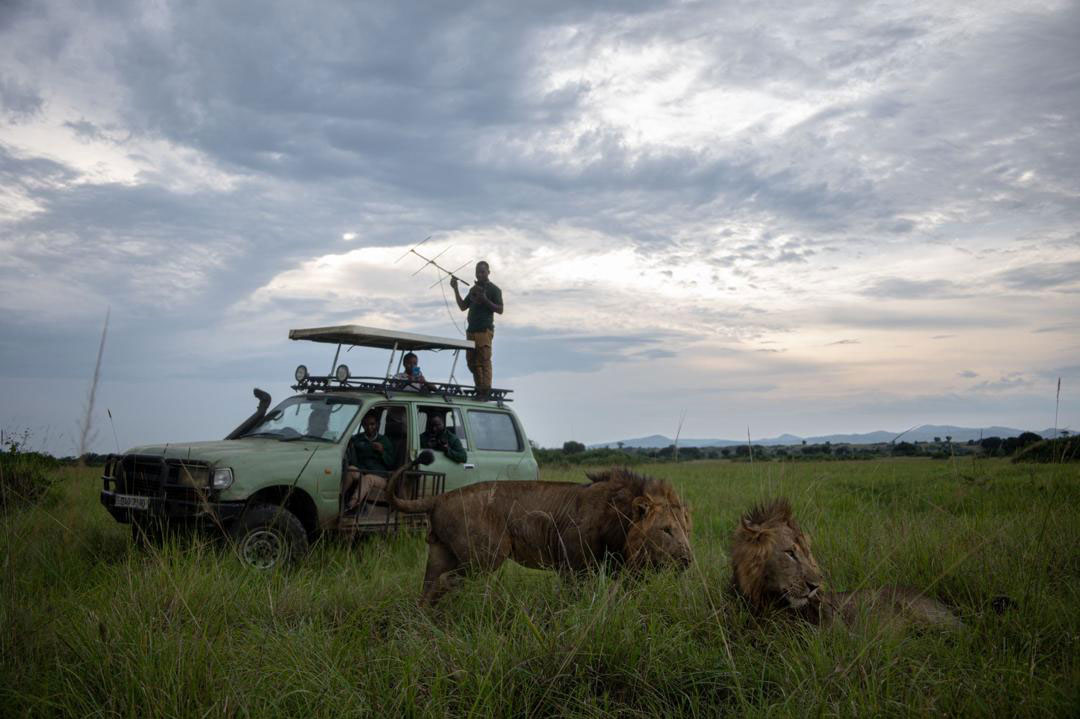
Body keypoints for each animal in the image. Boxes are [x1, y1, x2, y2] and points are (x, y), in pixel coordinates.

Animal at [388, 464, 691, 604]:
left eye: (687, 530)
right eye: (666, 530)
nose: (688, 560)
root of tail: (441, 497)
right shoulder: (574, 567)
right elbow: (572, 598)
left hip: (440, 553)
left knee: (427, 587)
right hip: (484, 557)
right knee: (447, 582)